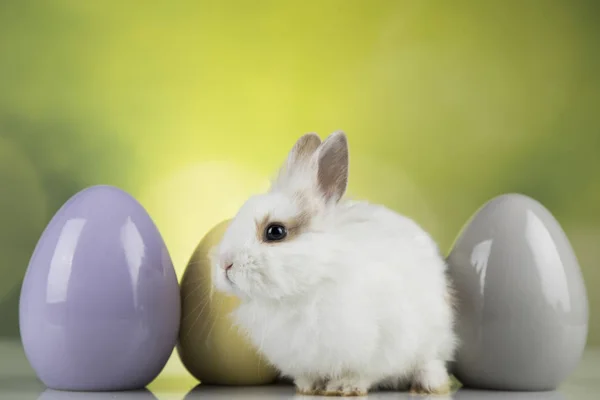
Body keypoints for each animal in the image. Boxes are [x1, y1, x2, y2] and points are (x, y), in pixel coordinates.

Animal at [211, 132, 454, 396]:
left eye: (275, 232)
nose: (225, 264)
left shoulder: (381, 345)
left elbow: (364, 373)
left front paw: (346, 387)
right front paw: (309, 387)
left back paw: (428, 384)